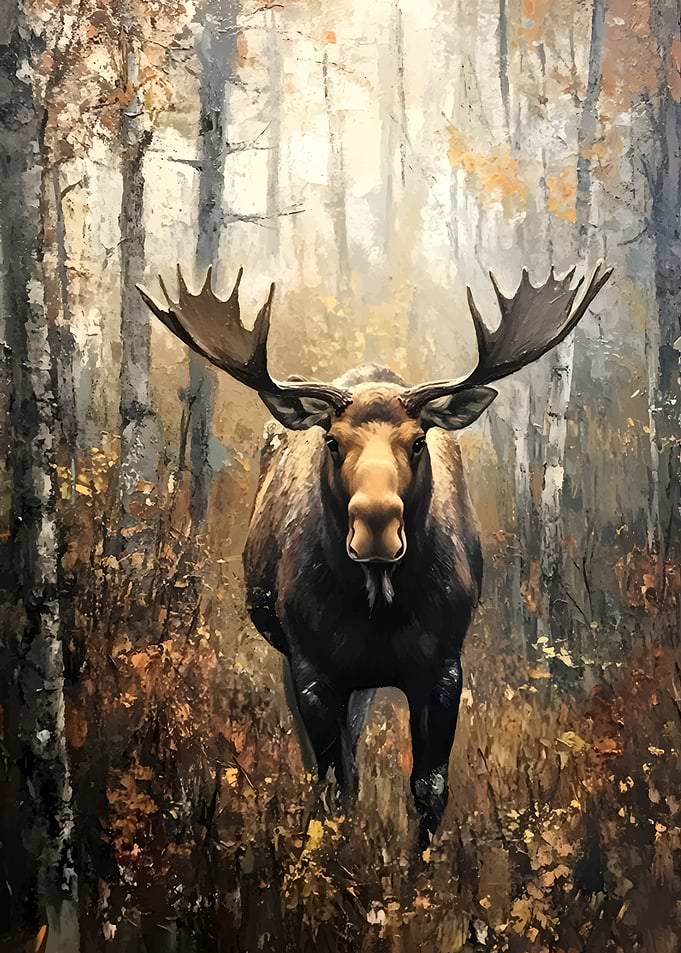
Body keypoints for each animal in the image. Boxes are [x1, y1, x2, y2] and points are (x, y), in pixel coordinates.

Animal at [139, 261, 611, 848]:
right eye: (333, 442)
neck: (379, 607)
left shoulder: (443, 667)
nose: (376, 523)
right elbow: (336, 784)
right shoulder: (312, 668)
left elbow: (429, 789)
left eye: (418, 441)